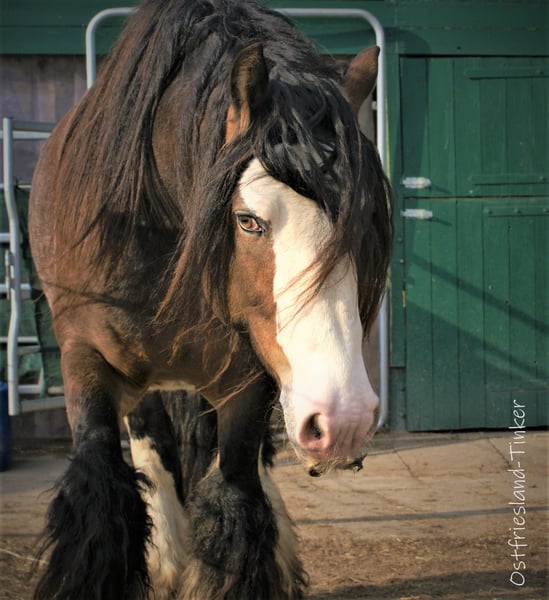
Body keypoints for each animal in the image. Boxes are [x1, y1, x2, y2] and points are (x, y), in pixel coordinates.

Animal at [28, 0, 392, 598]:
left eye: (362, 223)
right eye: (248, 221)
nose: (345, 421)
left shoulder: (246, 380)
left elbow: (236, 502)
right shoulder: (86, 357)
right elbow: (102, 507)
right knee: (152, 441)